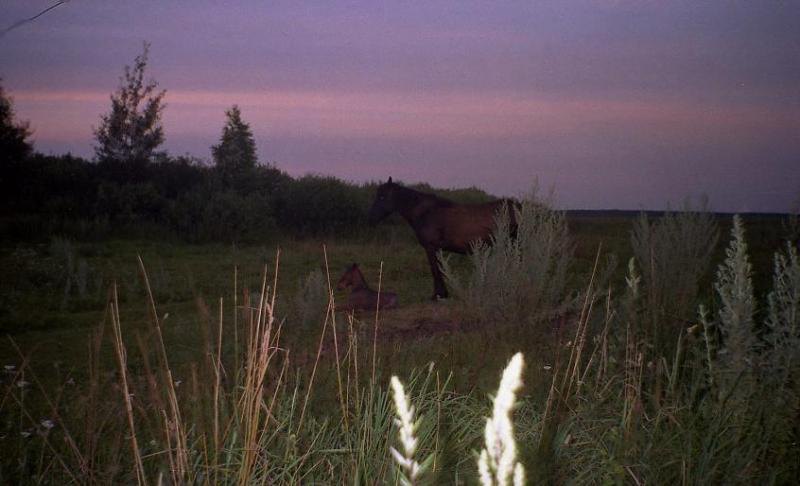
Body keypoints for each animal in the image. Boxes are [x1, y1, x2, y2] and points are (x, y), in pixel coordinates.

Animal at [370, 178, 520, 300]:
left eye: (382, 197)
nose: (371, 217)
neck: (426, 213)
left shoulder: (431, 247)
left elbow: (435, 270)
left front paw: (438, 295)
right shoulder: (436, 249)